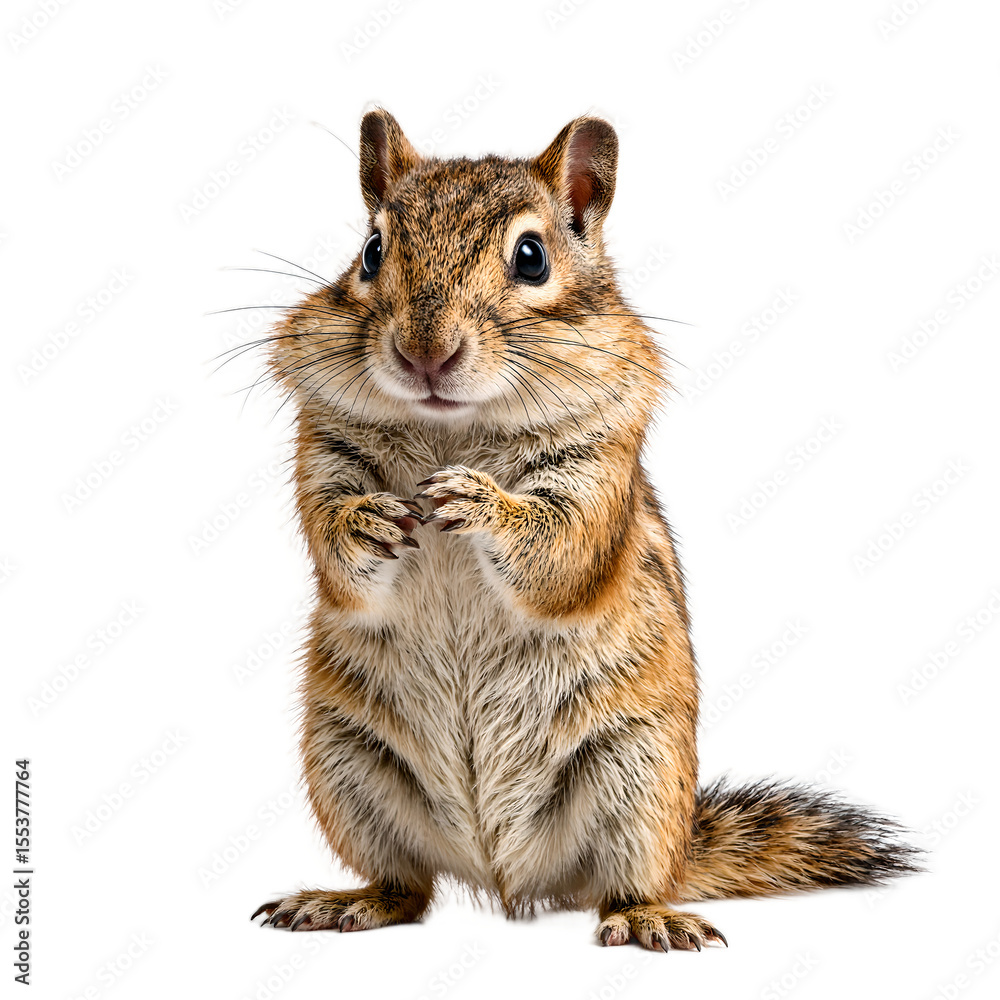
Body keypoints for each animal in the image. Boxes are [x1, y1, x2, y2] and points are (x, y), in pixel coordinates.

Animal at [248, 110, 919, 950]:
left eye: (531, 258)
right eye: (371, 251)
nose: (425, 352)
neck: (451, 428)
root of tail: (504, 873)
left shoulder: (598, 470)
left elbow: (559, 554)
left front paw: (483, 503)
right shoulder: (323, 453)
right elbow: (332, 542)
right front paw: (366, 519)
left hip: (639, 778)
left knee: (621, 885)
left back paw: (648, 918)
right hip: (347, 772)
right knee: (407, 887)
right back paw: (347, 902)